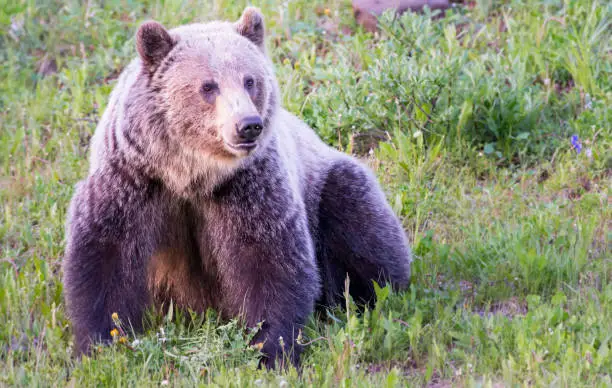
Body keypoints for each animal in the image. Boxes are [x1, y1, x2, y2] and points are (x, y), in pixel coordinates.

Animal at [63, 7, 412, 368]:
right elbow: (106, 256)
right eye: (208, 86)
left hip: (325, 181)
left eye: (250, 80)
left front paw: (272, 348)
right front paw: (100, 344)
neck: (190, 174)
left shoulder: (249, 188)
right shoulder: (133, 181)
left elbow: (269, 258)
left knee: (359, 221)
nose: (248, 125)